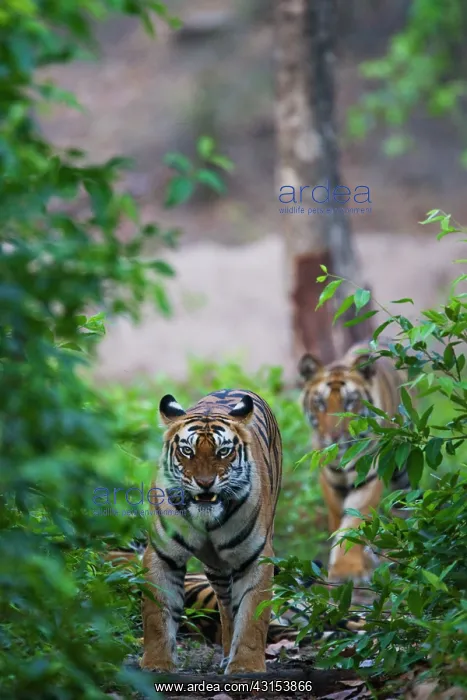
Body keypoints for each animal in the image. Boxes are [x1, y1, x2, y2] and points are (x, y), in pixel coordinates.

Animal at [141, 389, 282, 675]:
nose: (205, 483)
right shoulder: (162, 556)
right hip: (215, 570)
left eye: (223, 451)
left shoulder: (256, 558)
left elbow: (252, 617)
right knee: (226, 610)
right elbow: (157, 614)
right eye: (187, 451)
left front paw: (246, 667)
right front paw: (157, 664)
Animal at [298, 340, 411, 583]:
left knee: (404, 503)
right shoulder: (329, 479)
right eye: (320, 403)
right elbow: (337, 520)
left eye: (349, 402)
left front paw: (346, 570)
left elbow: (353, 524)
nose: (334, 437)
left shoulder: (368, 478)